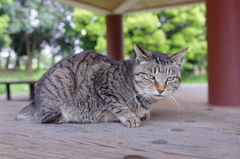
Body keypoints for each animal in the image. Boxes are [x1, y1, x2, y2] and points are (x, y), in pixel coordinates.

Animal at [16, 43, 188, 128]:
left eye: (170, 78)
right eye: (150, 76)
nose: (160, 89)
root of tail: (35, 102)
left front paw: (144, 114)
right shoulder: (102, 81)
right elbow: (119, 104)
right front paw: (131, 117)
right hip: (63, 76)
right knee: (44, 118)